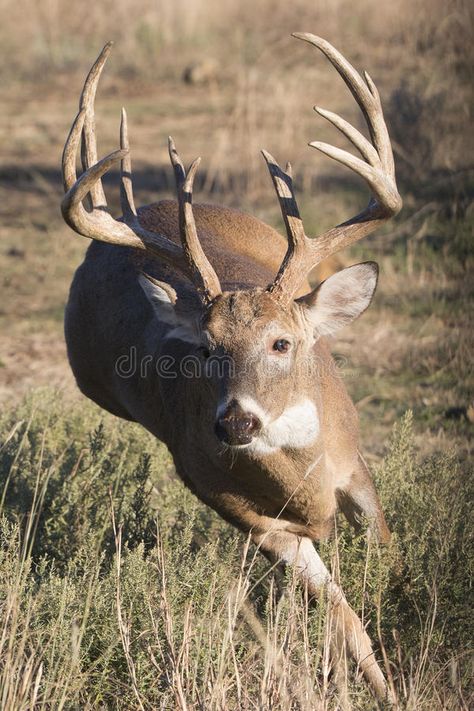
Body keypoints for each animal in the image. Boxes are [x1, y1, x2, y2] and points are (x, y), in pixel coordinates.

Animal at [62, 33, 404, 700]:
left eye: (281, 344)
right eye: (205, 348)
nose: (235, 423)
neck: (303, 481)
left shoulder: (354, 462)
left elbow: (390, 553)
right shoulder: (251, 518)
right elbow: (343, 618)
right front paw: (387, 692)